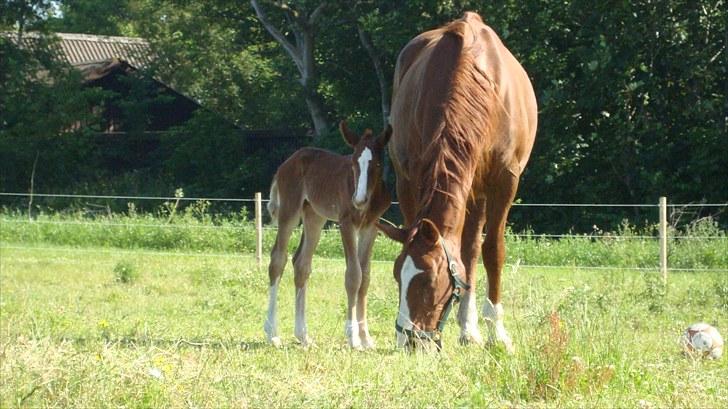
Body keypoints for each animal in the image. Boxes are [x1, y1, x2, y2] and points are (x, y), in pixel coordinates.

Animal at [264, 120, 392, 348]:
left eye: (377, 164)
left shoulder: (371, 227)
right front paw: (353, 338)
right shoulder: (346, 222)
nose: (358, 200)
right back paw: (272, 334)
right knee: (278, 260)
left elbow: (365, 277)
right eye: (353, 163)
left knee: (301, 264)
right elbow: (354, 275)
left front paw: (366, 337)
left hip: (314, 216)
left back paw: (303, 335)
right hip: (290, 211)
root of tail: (285, 164)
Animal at [378, 12, 536, 350]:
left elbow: (493, 251)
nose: (410, 341)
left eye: (429, 281)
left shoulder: (505, 180)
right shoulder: (411, 177)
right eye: (397, 275)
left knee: (473, 250)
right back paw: (468, 328)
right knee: (468, 250)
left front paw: (497, 333)